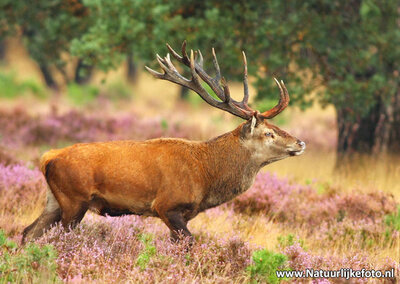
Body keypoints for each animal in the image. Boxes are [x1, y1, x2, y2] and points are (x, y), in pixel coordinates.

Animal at [21, 41, 304, 244]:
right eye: (268, 133)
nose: (300, 143)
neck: (206, 176)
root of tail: (47, 158)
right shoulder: (167, 205)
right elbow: (190, 244)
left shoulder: (183, 214)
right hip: (74, 199)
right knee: (54, 237)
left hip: (54, 200)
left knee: (28, 232)